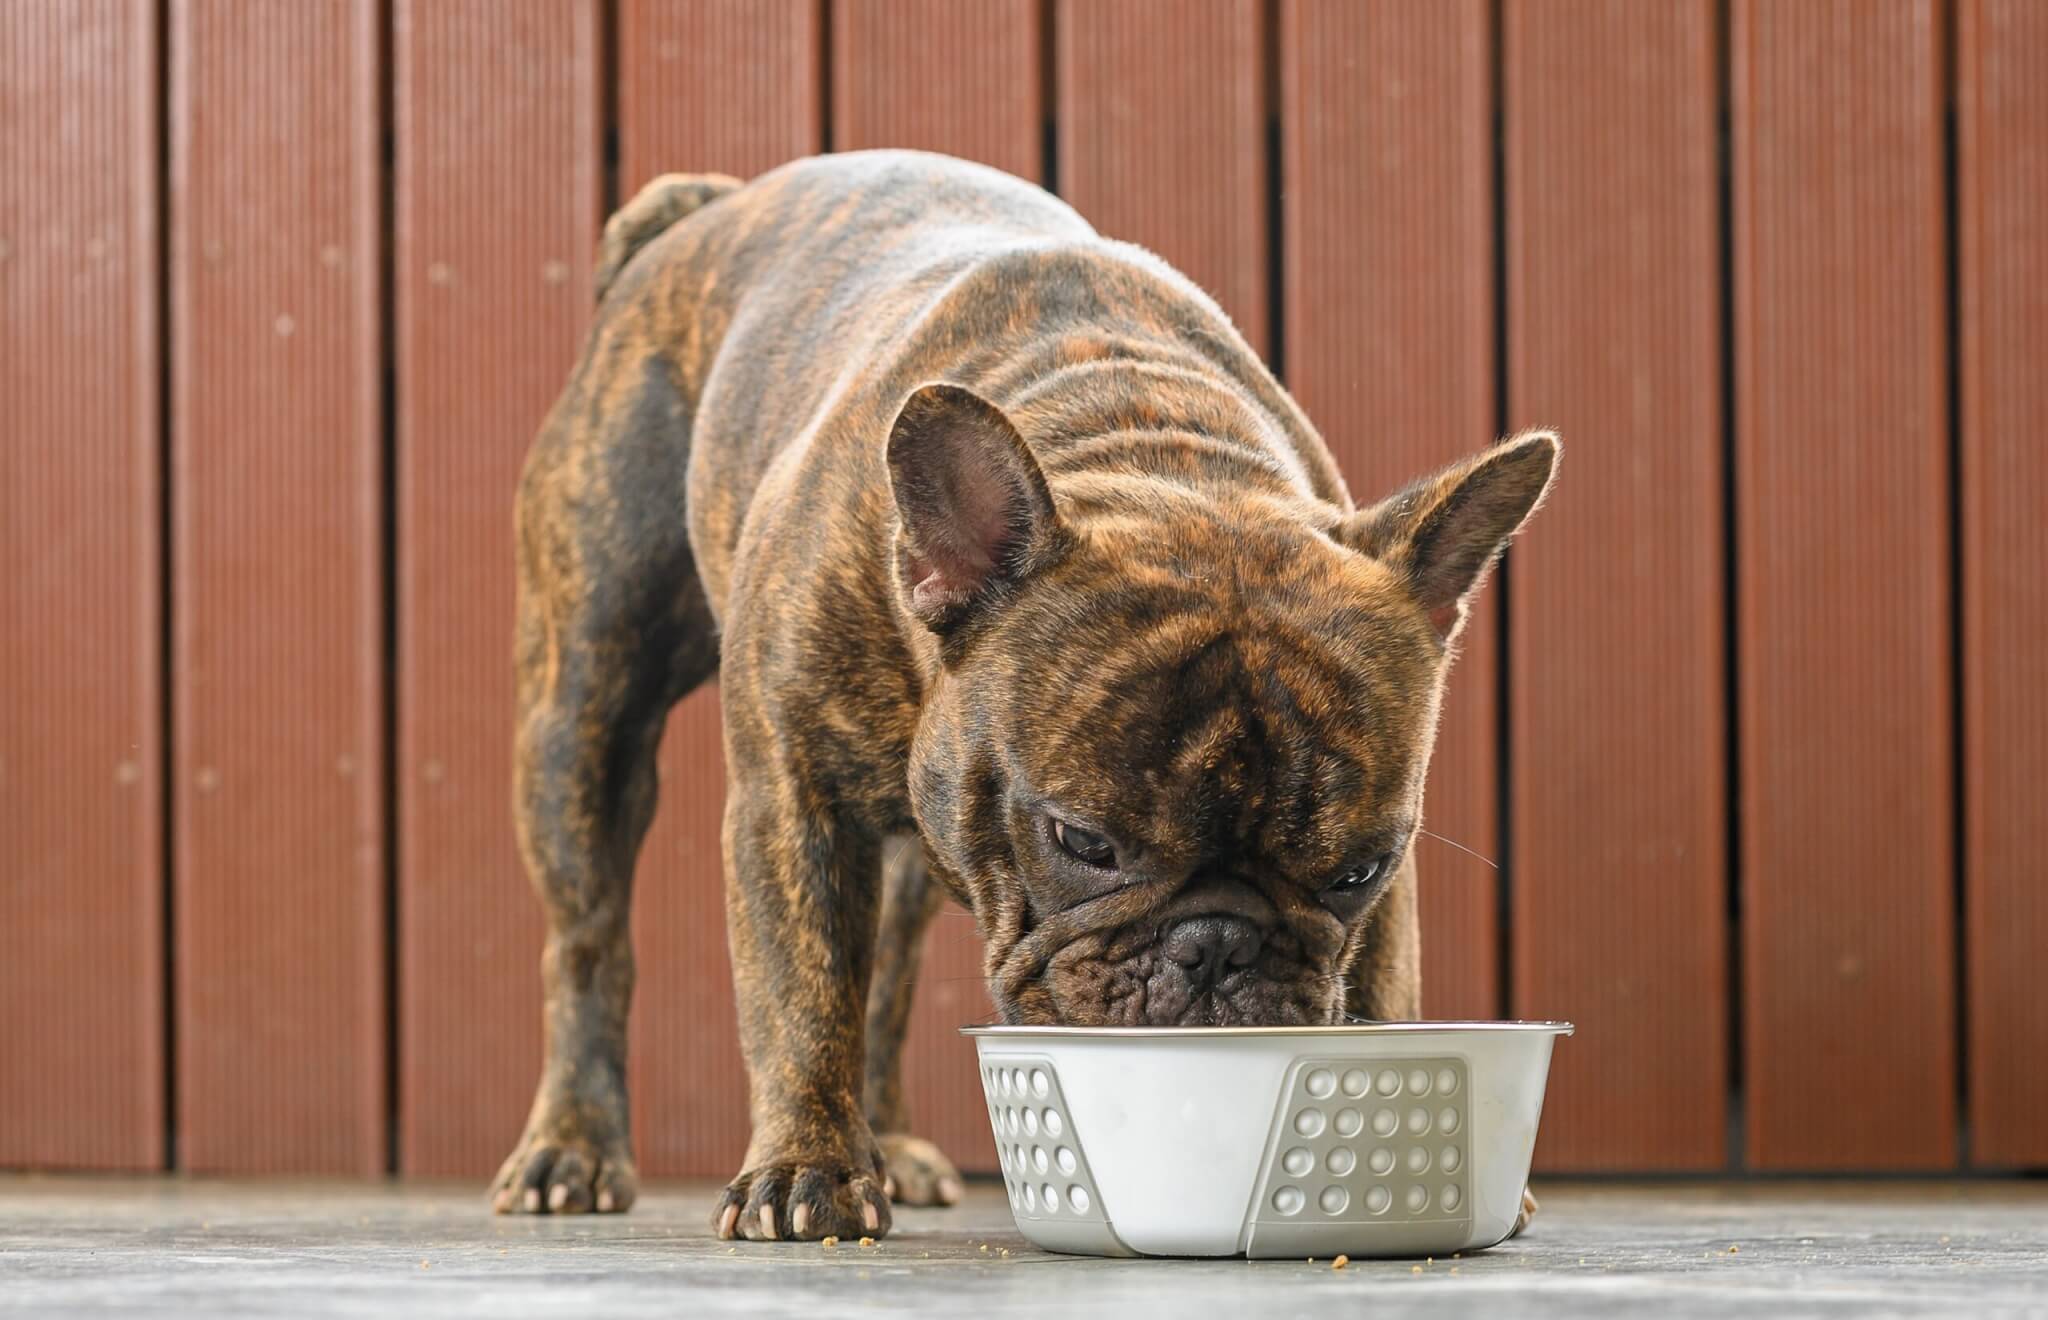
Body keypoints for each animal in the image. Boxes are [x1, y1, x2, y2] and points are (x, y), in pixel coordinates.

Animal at [491, 149, 1548, 1244]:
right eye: (1084, 843)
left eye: (1354, 872)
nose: (1217, 946)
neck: (1150, 450)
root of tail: (709, 206)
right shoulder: (792, 803)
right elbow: (800, 992)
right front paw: (806, 1170)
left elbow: (1382, 978)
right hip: (582, 717)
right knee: (589, 943)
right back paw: (571, 1148)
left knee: (888, 971)